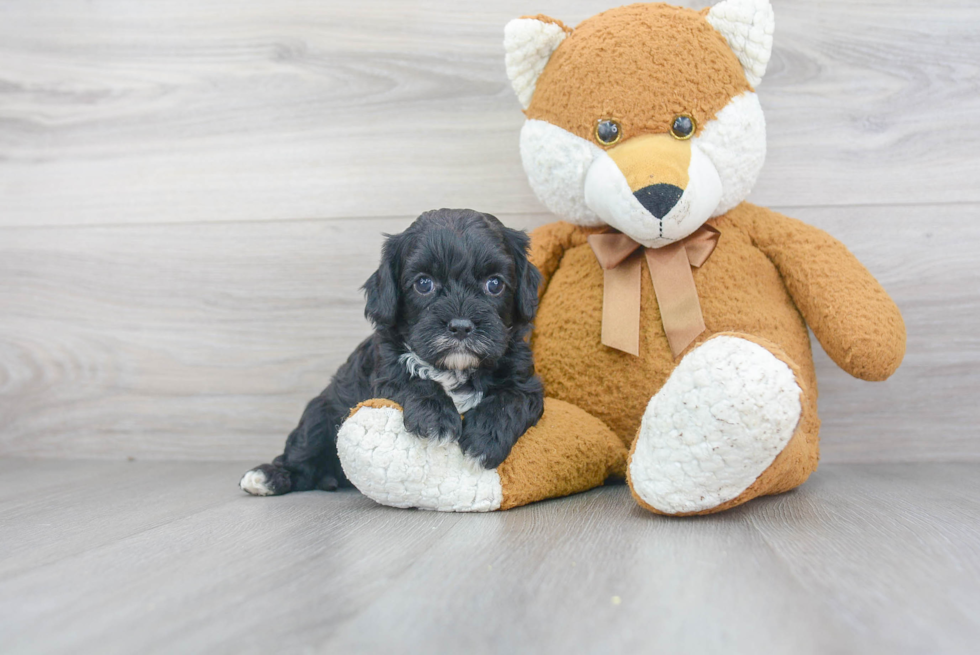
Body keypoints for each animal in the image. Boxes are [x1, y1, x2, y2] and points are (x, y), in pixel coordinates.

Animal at [237, 208, 544, 494]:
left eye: (494, 284)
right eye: (423, 284)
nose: (460, 326)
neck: (454, 369)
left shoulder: (526, 383)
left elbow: (510, 400)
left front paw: (483, 440)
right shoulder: (383, 370)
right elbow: (412, 381)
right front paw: (437, 420)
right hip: (319, 413)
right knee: (303, 452)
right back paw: (266, 477)